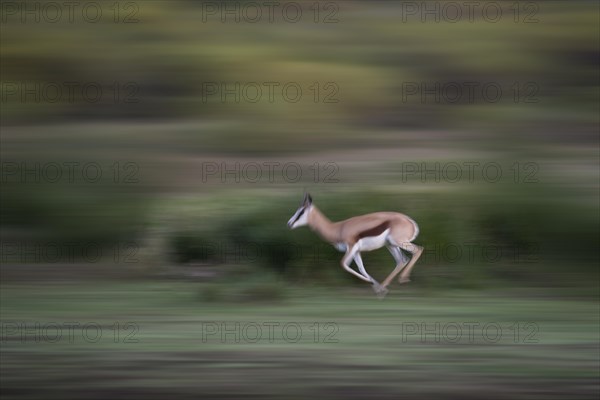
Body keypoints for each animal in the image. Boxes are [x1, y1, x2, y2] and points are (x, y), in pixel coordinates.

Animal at [288, 192, 424, 298]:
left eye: (301, 211)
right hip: (391, 245)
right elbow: (361, 268)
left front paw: (371, 283)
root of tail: (410, 221)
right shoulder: (356, 251)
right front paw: (375, 286)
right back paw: (384, 288)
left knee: (418, 250)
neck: (338, 229)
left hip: (399, 242)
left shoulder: (351, 247)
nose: (289, 223)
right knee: (401, 260)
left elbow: (343, 264)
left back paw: (402, 280)